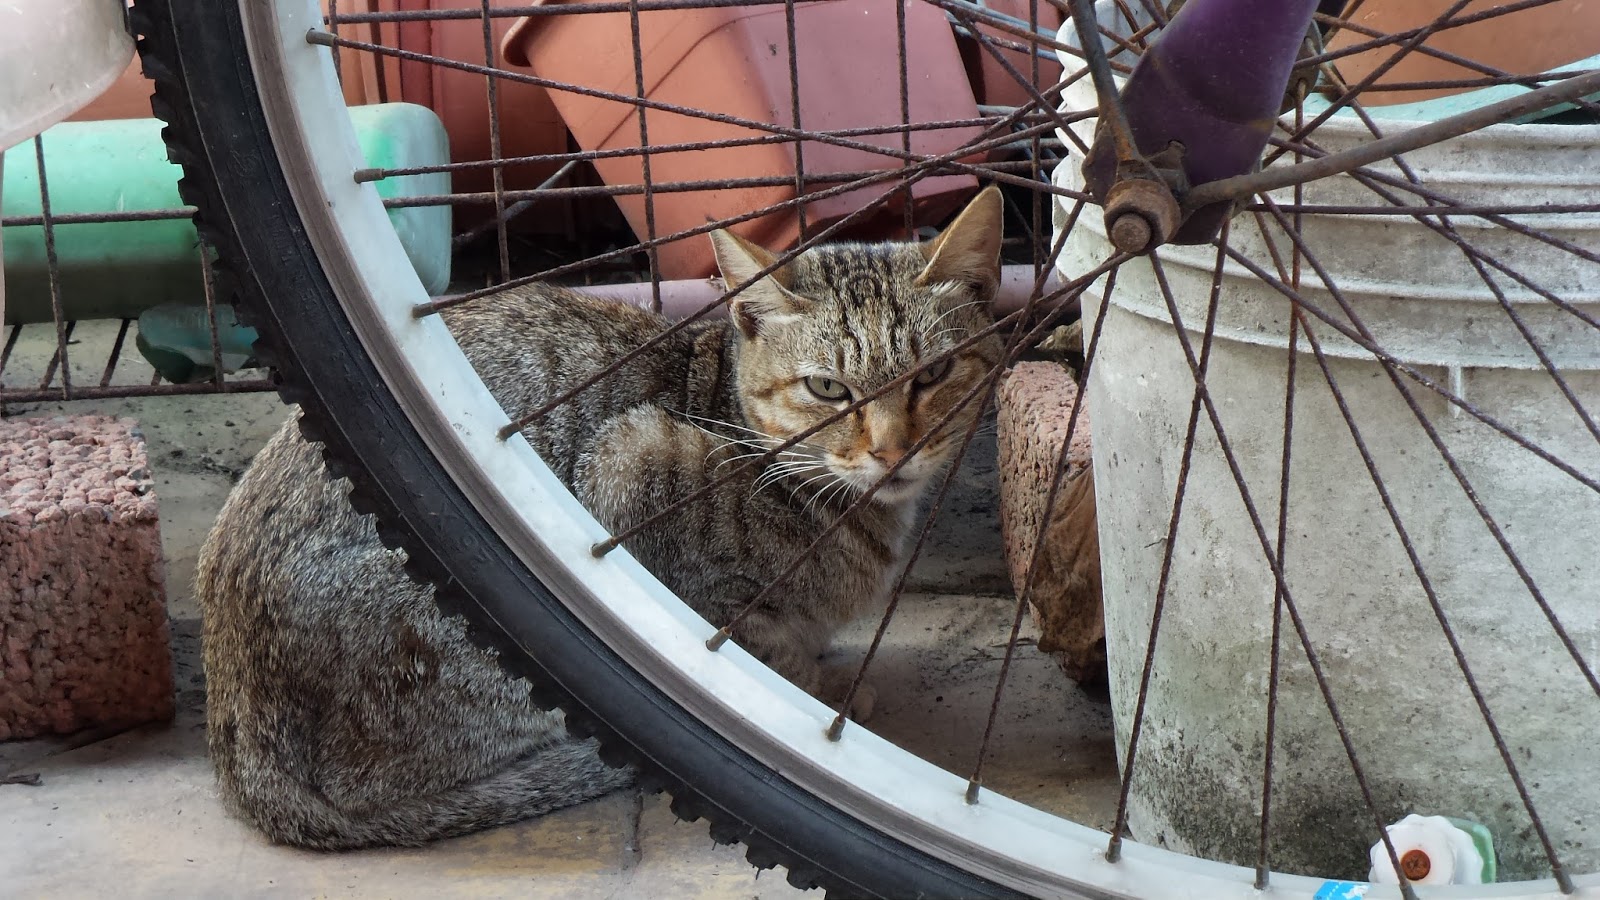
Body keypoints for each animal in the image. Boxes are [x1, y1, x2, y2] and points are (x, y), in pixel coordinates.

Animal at [195, 186, 1005, 850]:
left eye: (935, 373)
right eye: (828, 389)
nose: (894, 452)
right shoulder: (633, 468)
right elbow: (752, 651)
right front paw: (814, 694)